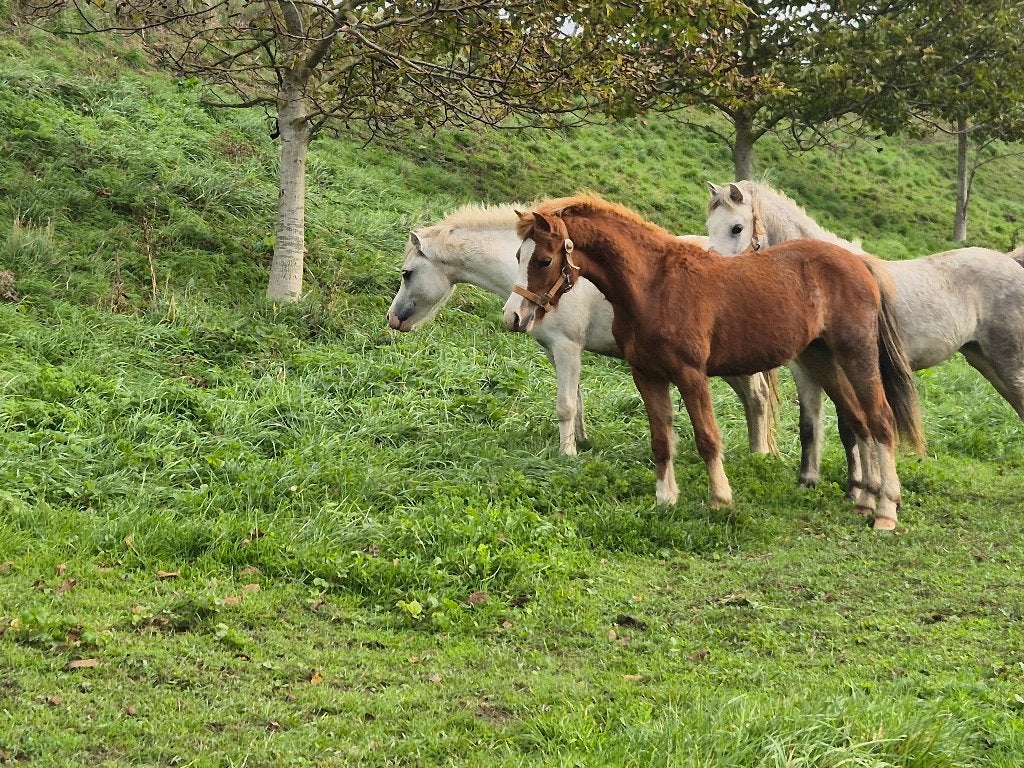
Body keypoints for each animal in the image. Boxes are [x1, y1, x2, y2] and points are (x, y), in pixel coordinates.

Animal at [385, 203, 779, 456]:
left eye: (407, 273)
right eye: (518, 257)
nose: (394, 320)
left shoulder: (567, 347)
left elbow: (565, 404)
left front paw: (567, 455)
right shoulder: (559, 351)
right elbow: (576, 400)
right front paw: (582, 442)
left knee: (758, 398)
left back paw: (759, 457)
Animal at [507, 194, 924, 530]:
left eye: (543, 260)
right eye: (518, 256)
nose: (513, 317)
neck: (653, 286)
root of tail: (858, 262)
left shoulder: (692, 375)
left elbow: (708, 438)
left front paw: (721, 500)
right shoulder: (647, 375)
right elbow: (661, 440)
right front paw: (665, 500)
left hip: (856, 355)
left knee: (881, 420)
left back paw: (886, 511)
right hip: (820, 359)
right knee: (859, 420)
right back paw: (864, 500)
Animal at [707, 179, 1024, 492]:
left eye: (737, 227)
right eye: (709, 225)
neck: (819, 279)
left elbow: (850, 426)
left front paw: (859, 486)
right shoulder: (806, 372)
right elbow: (810, 425)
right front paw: (808, 481)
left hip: (1009, 364)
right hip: (983, 361)